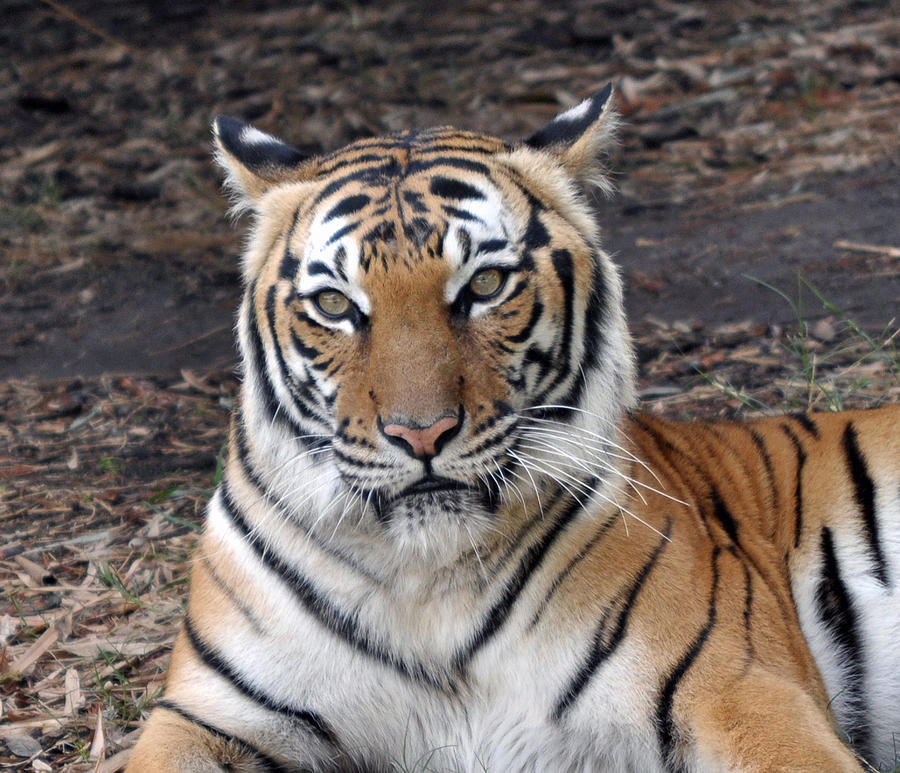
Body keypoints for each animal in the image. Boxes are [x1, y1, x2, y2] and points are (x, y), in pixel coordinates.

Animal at [128, 84, 900, 772]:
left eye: (485, 286)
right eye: (334, 304)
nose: (421, 435)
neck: (426, 584)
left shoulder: (740, 688)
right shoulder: (209, 713)